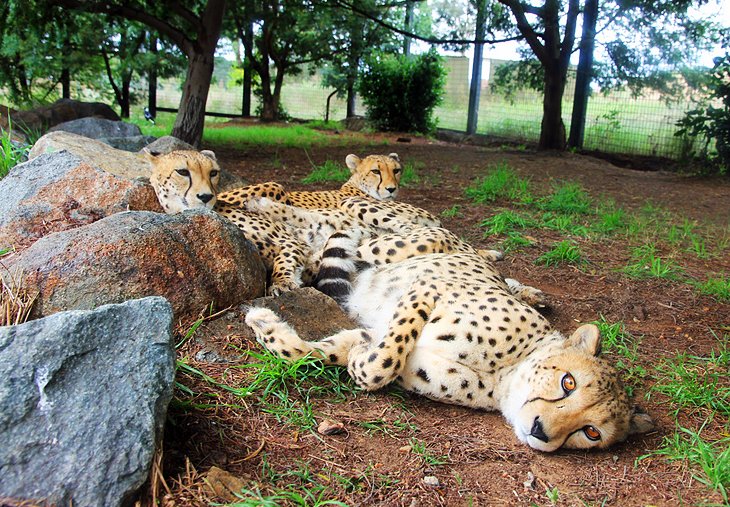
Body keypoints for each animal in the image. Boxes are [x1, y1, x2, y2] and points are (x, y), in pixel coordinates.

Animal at [246, 230, 656, 452]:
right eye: (567, 382)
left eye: (591, 432)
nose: (540, 430)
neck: (505, 374)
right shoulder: (427, 289)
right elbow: (386, 360)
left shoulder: (376, 331)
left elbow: (329, 354)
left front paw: (268, 326)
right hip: (405, 245)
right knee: (332, 248)